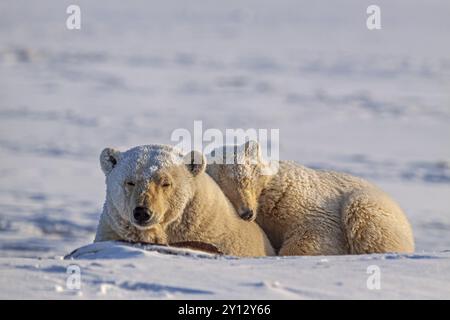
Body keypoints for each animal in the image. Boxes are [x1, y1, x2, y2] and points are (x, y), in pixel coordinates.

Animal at [207, 141, 414, 256]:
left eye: (245, 179)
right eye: (224, 189)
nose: (247, 213)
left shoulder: (295, 198)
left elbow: (315, 231)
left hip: (368, 205)